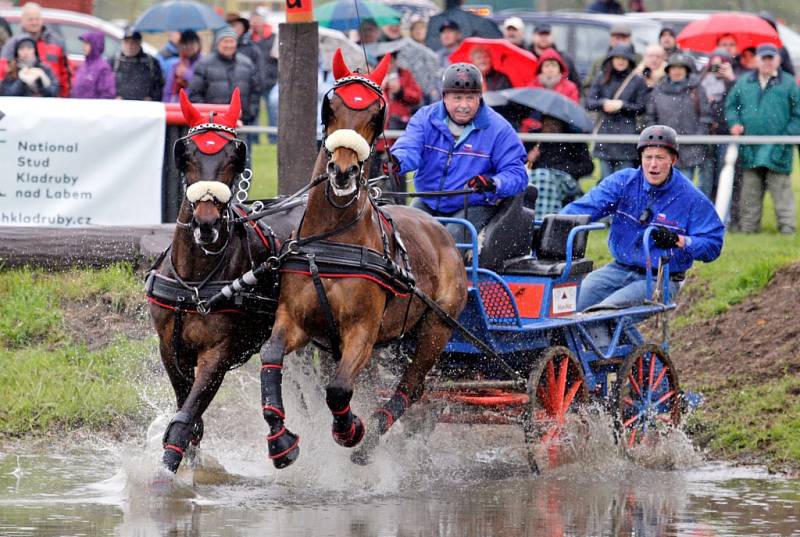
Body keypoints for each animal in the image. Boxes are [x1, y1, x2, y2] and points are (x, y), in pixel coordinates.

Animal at [147, 89, 304, 474]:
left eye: (235, 155)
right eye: (186, 153)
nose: (206, 224)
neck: (195, 283)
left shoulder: (216, 354)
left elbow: (186, 418)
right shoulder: (170, 349)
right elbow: (191, 419)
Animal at [256, 51, 468, 468]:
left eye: (376, 112)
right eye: (331, 106)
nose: (343, 171)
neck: (333, 241)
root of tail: (442, 233)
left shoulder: (362, 331)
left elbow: (338, 389)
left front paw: (350, 429)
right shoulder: (294, 320)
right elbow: (270, 357)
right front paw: (280, 440)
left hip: (436, 327)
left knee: (410, 386)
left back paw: (370, 440)